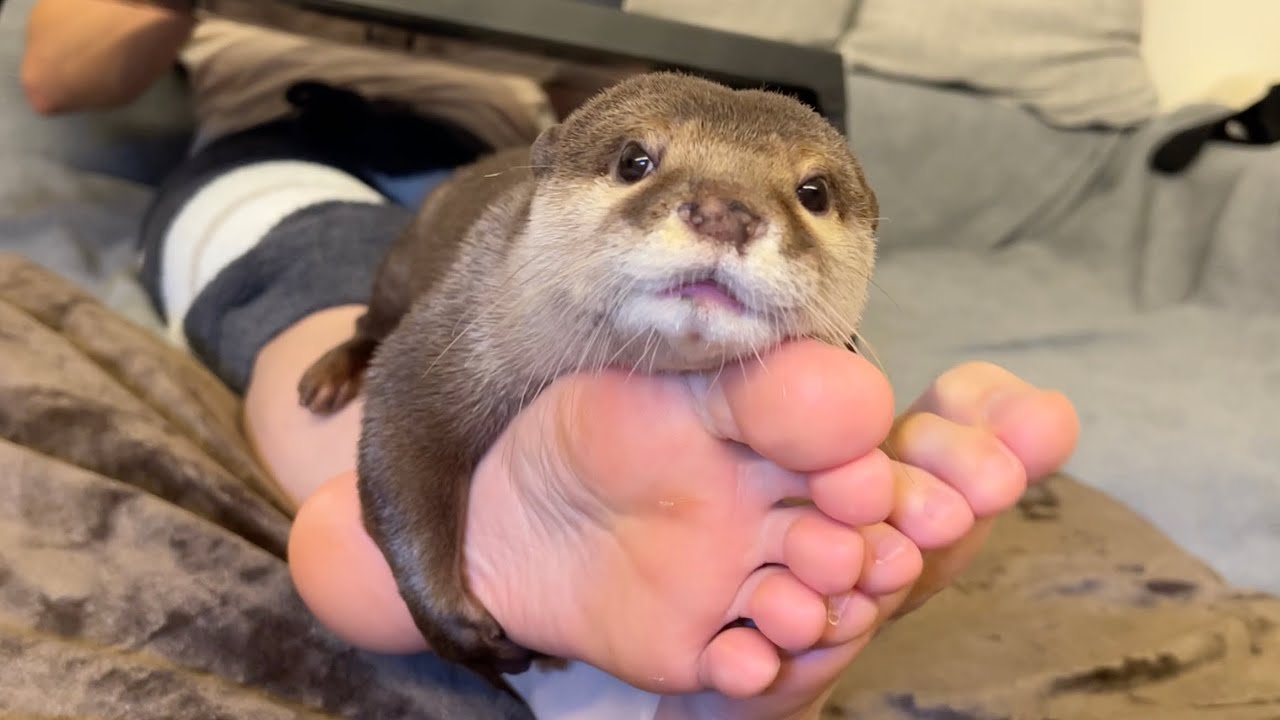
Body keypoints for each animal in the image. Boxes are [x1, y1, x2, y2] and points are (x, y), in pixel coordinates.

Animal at [296, 71, 880, 687]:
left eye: (814, 192)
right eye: (634, 160)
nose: (726, 211)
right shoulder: (449, 337)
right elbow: (398, 434)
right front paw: (458, 625)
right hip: (402, 265)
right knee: (370, 323)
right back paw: (329, 377)